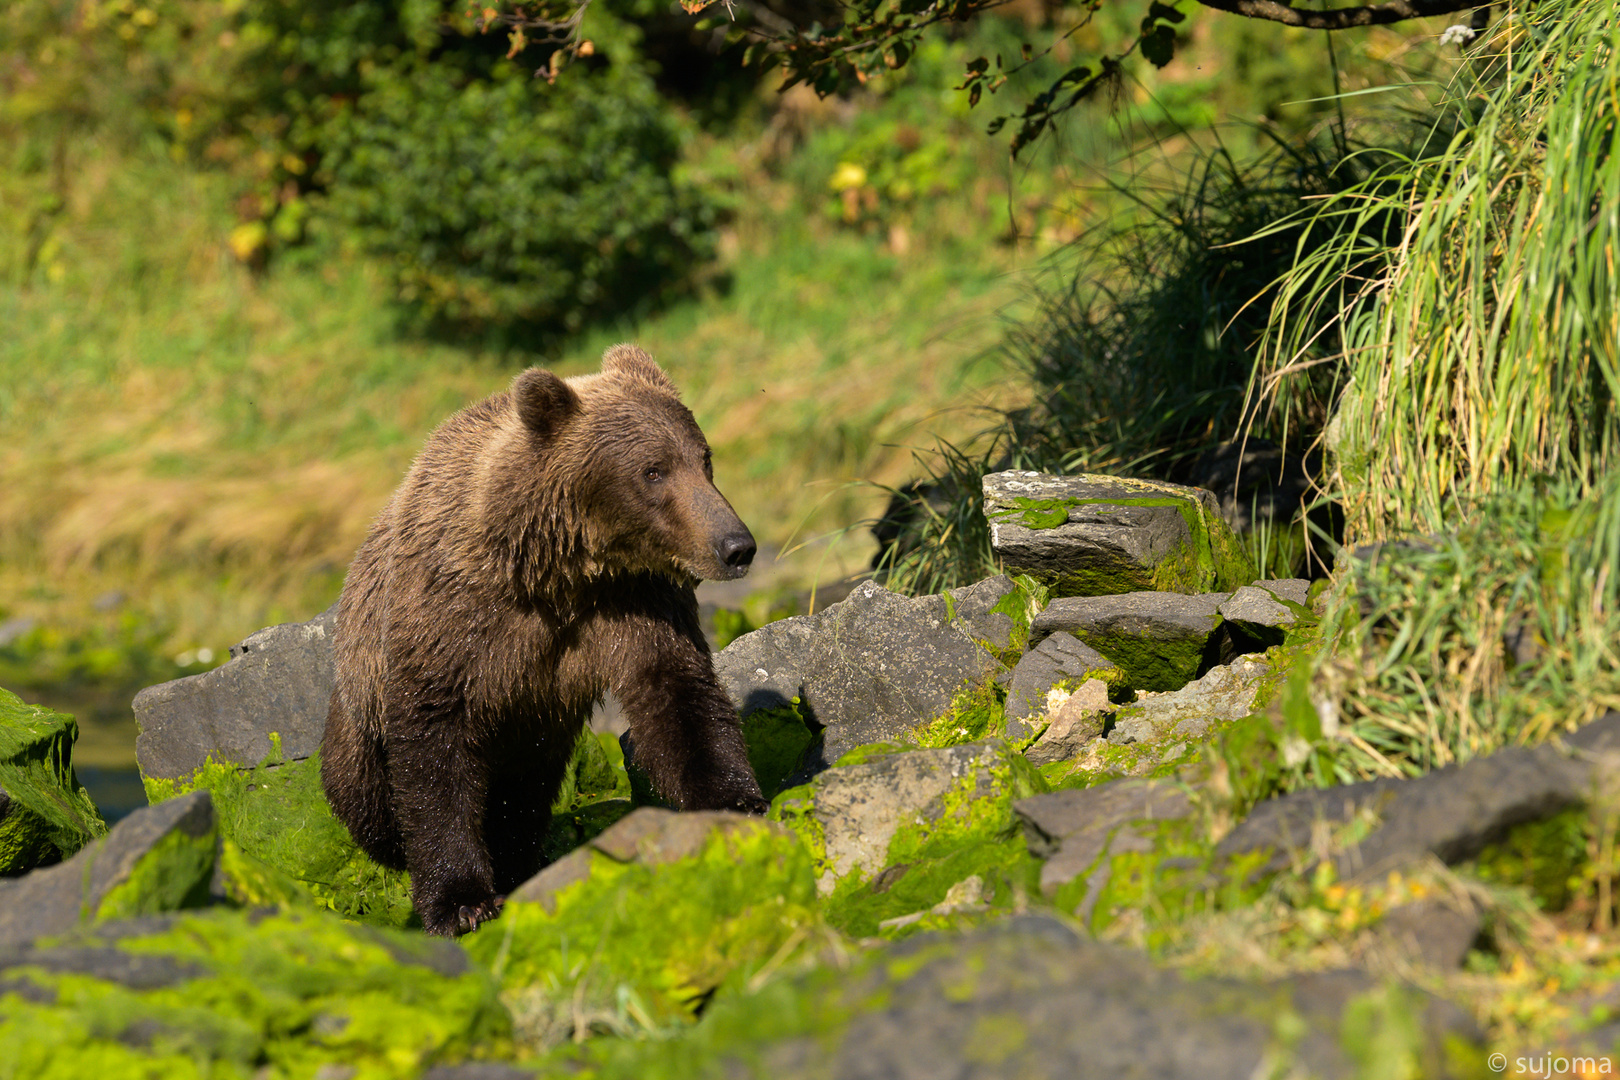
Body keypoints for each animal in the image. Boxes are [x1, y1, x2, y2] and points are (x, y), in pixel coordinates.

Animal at [324, 346, 771, 939]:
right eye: (653, 470)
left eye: (705, 459)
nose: (736, 545)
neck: (558, 571)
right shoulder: (454, 621)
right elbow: (434, 752)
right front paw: (462, 901)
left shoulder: (634, 606)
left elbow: (680, 696)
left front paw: (736, 802)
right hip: (360, 708)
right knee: (366, 801)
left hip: (535, 739)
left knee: (522, 798)